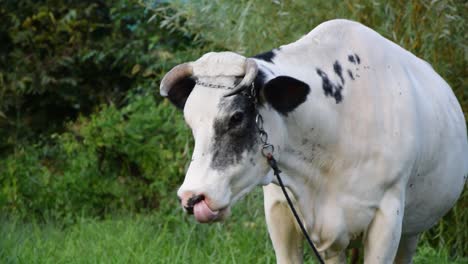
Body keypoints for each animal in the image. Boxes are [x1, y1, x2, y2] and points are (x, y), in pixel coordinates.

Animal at [159, 19, 466, 262]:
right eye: (190, 121)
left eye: (236, 117)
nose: (192, 197)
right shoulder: (280, 212)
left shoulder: (388, 218)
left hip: (412, 230)